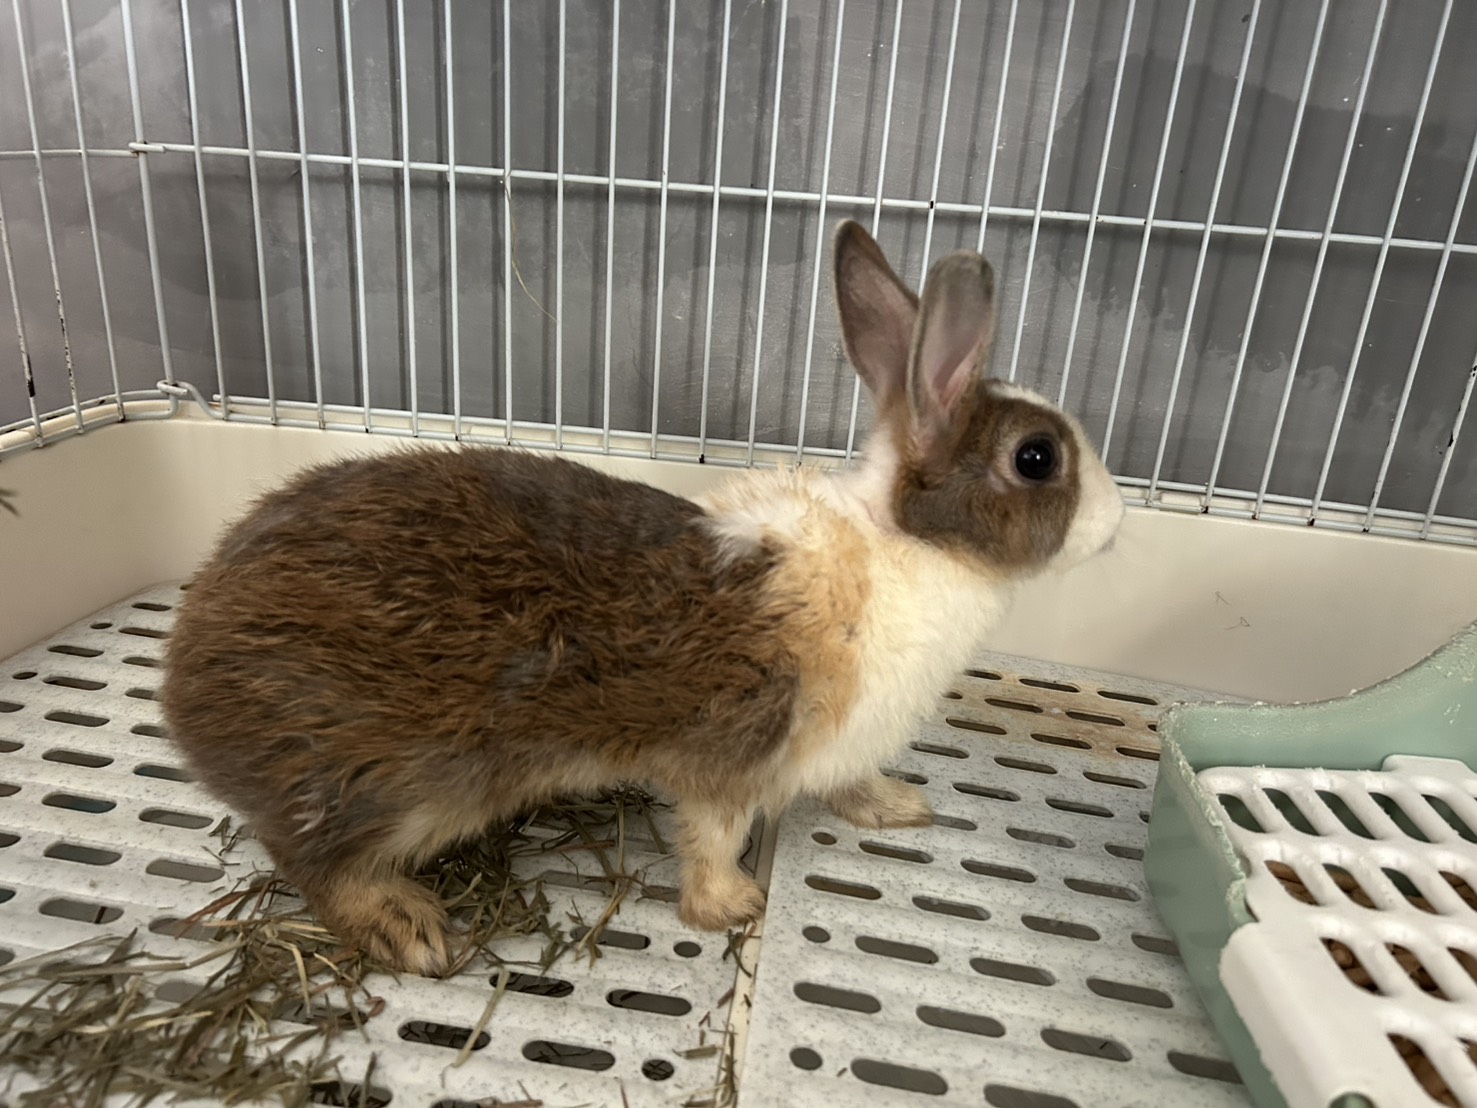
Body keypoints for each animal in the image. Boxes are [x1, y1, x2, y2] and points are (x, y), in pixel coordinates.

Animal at [161, 220, 1125, 976]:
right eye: (1036, 458)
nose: (1116, 524)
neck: (902, 546)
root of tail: (186, 684)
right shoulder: (732, 754)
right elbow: (711, 835)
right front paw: (731, 908)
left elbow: (846, 784)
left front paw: (896, 807)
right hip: (397, 787)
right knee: (313, 861)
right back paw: (407, 928)